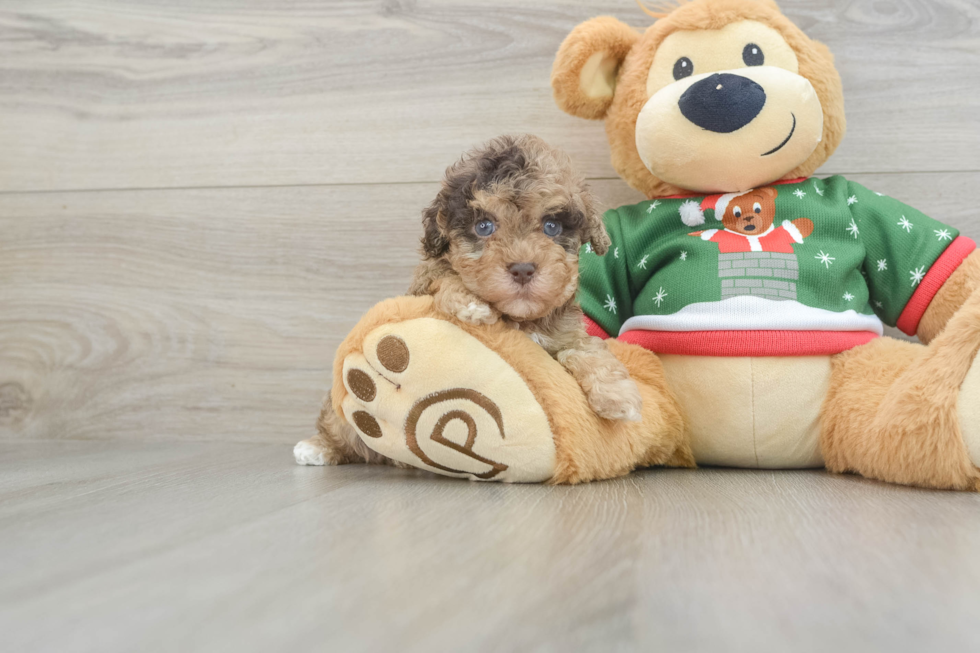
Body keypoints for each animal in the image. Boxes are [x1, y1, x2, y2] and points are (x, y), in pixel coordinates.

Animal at [296, 134, 644, 468]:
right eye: (484, 226)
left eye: (552, 226)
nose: (523, 268)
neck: (519, 318)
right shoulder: (422, 283)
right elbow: (444, 273)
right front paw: (472, 305)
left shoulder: (567, 335)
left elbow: (586, 350)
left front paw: (619, 397)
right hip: (342, 414)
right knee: (340, 425)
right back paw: (317, 447)